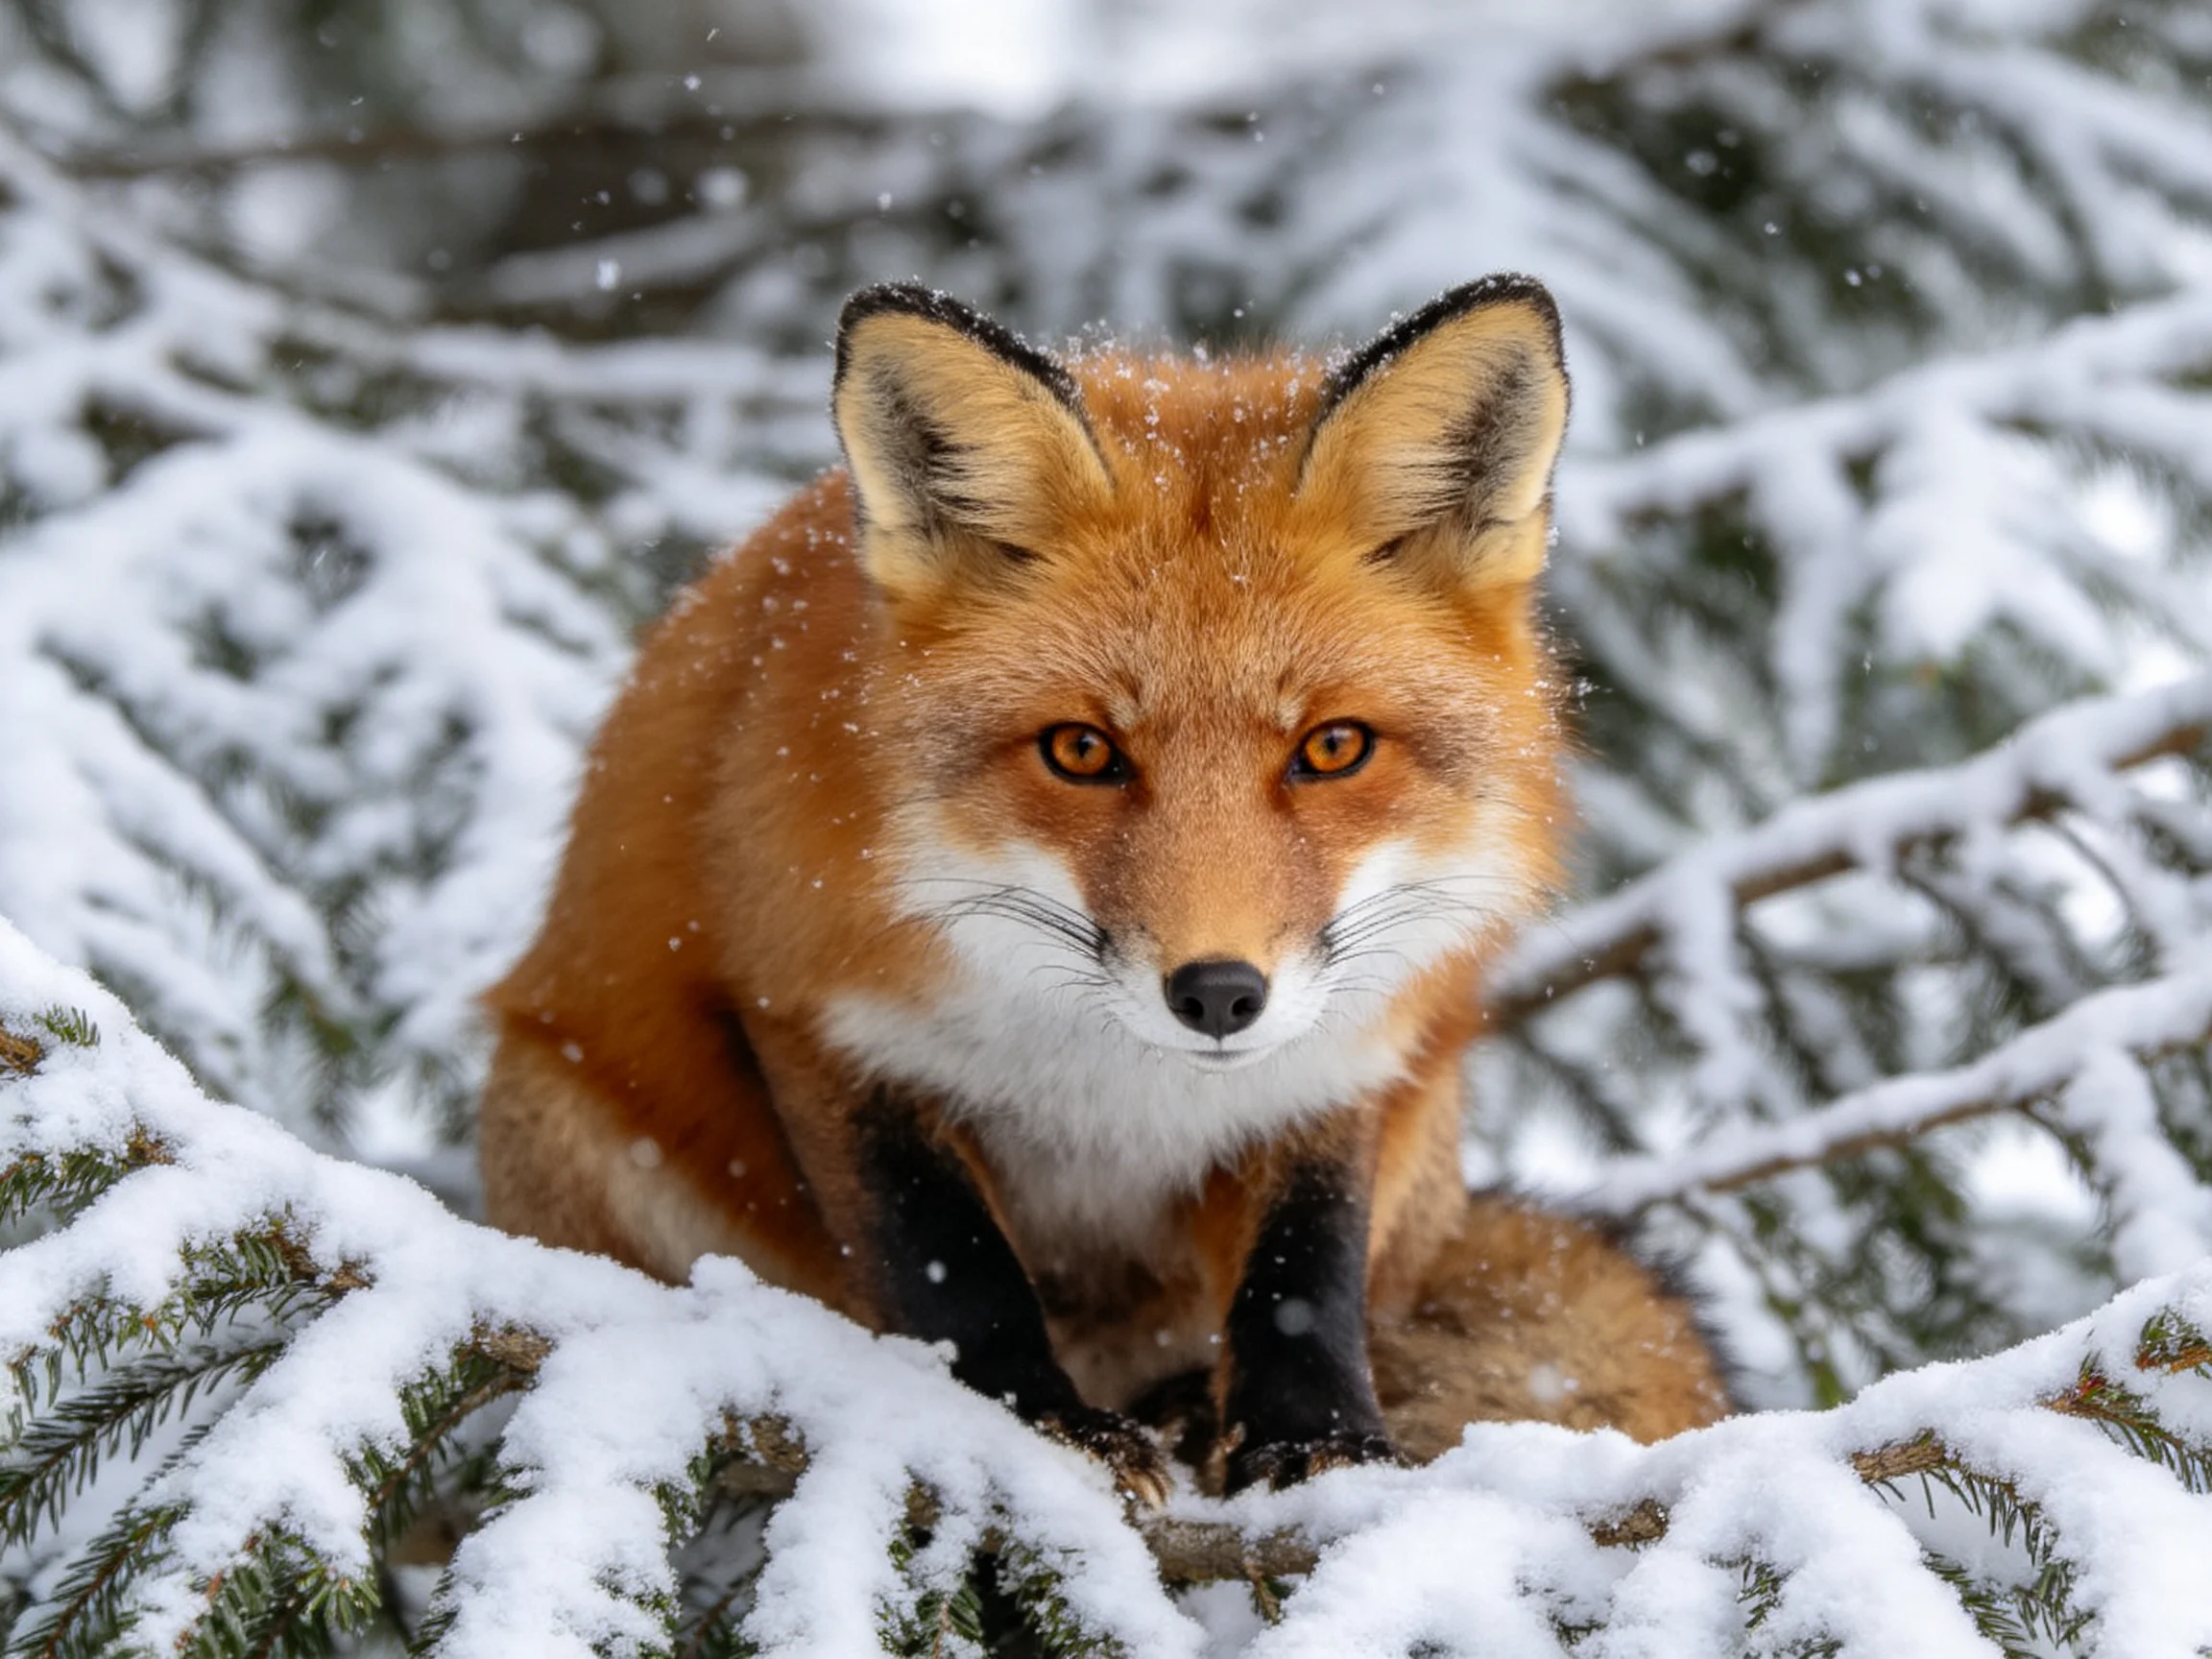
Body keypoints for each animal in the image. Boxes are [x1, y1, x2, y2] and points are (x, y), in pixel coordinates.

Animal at [480, 277, 1729, 1501]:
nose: (1220, 992)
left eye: (1332, 748)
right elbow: (949, 1265)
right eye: (1081, 751)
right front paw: (1037, 1424)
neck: (1114, 1083)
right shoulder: (823, 1018)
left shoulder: (1344, 1052)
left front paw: (1314, 1443)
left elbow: (1304, 1272)